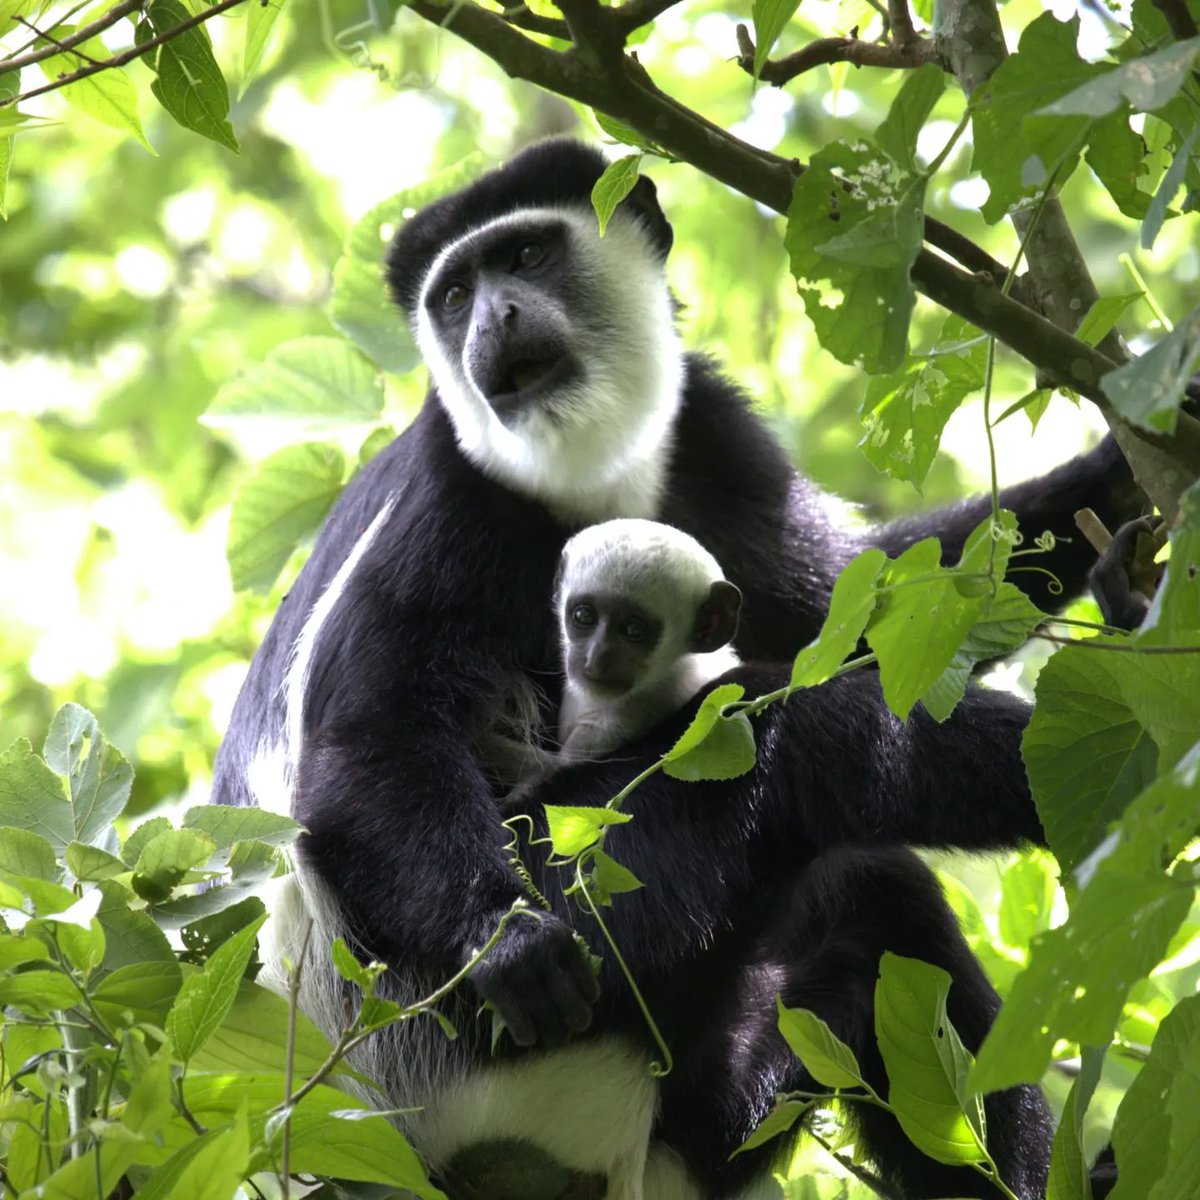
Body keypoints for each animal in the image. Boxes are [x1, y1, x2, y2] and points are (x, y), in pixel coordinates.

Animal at [213, 139, 1146, 1198]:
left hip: (700, 1107)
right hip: (461, 1015)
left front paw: (1118, 482)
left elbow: (866, 611)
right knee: (798, 749)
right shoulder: (453, 501)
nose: (493, 318)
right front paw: (507, 943)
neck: (587, 471)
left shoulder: (711, 436)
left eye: (526, 254)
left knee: (877, 912)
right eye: (452, 294)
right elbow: (369, 739)